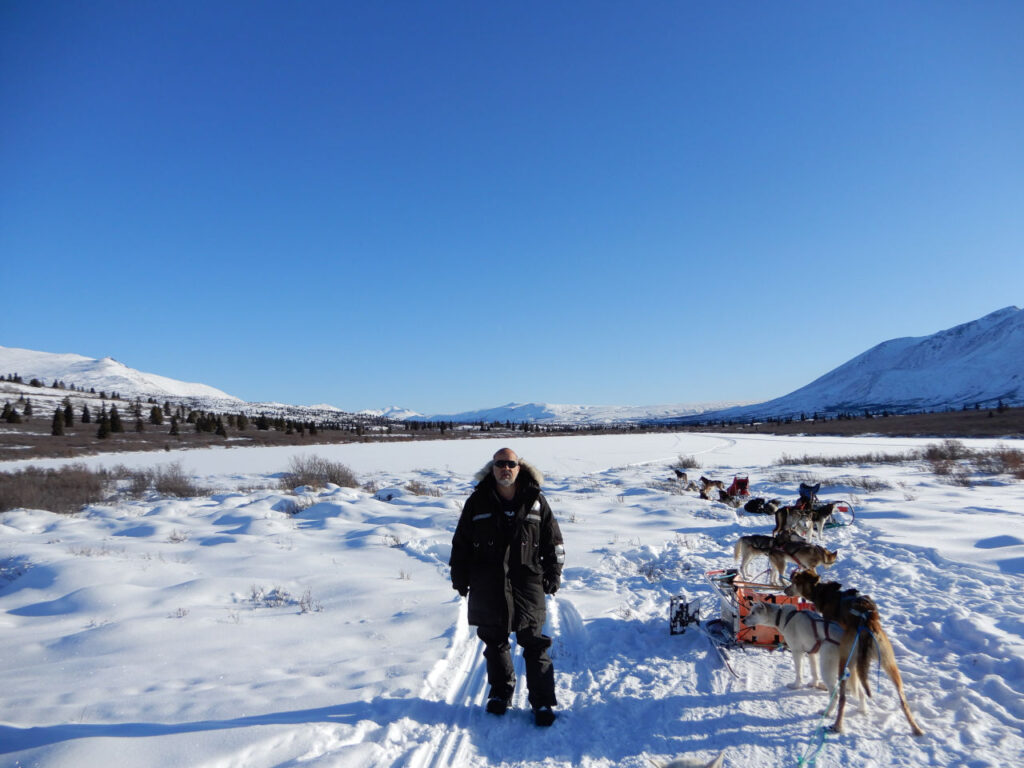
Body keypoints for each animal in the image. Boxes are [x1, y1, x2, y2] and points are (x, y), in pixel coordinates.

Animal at [782, 573, 929, 741]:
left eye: (794, 581)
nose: (785, 589)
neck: (825, 593)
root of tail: (867, 622)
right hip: (890, 665)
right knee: (903, 701)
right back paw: (916, 728)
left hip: (844, 661)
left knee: (842, 698)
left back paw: (837, 725)